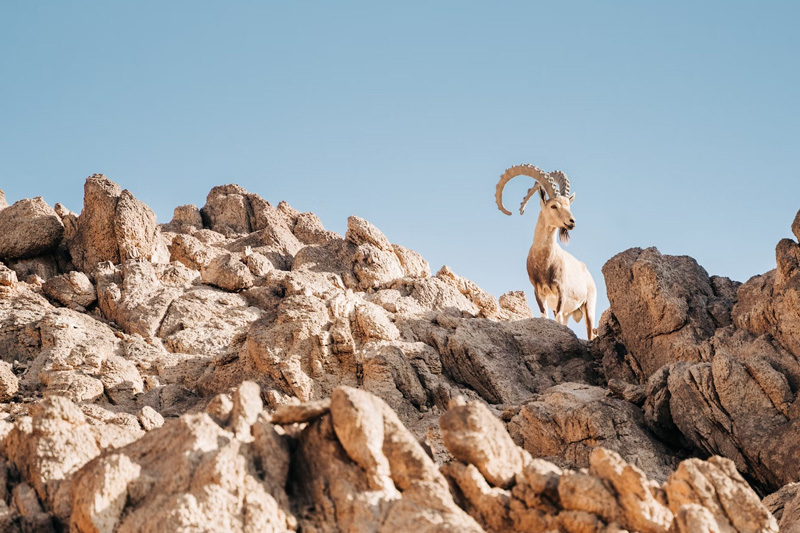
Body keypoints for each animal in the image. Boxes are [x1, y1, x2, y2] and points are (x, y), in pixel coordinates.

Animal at [496, 164, 596, 338]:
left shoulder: (561, 291)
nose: (572, 222)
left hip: (589, 306)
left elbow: (557, 318)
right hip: (571, 312)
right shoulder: (538, 291)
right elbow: (545, 315)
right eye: (554, 205)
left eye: (569, 205)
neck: (544, 261)